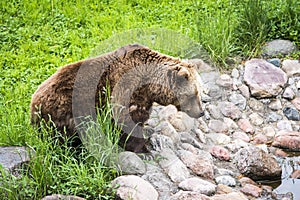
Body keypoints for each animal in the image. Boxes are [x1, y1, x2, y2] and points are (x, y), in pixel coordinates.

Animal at [30, 44, 204, 152]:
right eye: (193, 94)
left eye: (198, 93)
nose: (201, 112)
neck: (149, 85)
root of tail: (33, 102)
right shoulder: (126, 90)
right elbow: (127, 120)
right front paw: (143, 145)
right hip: (65, 108)